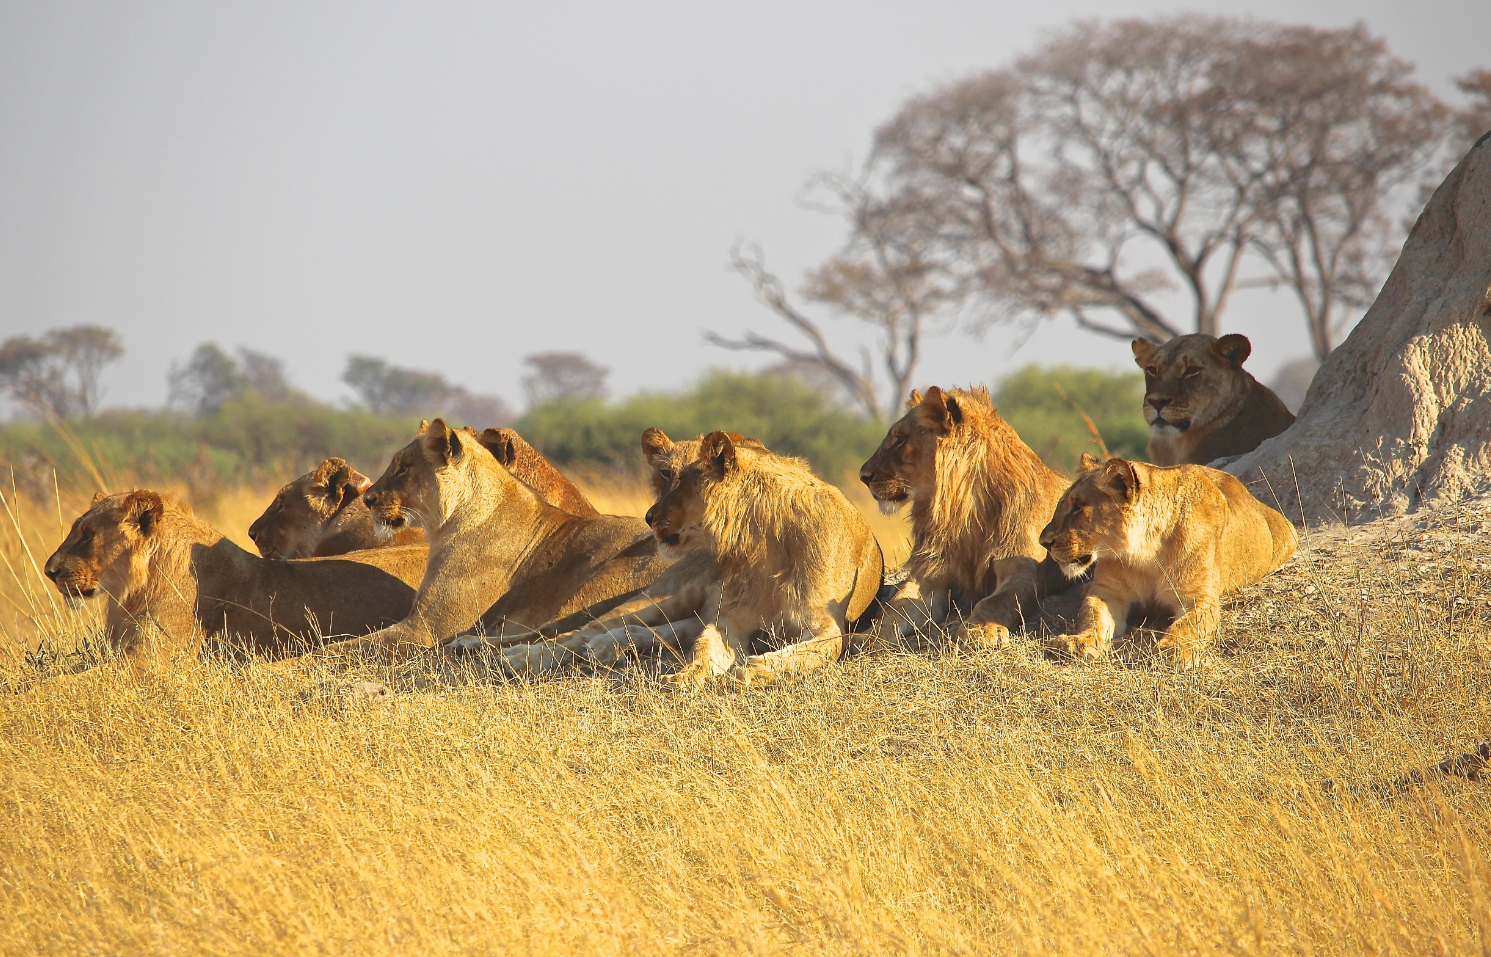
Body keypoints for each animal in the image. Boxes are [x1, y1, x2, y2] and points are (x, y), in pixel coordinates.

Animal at [295, 419, 671, 666]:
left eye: (403, 468)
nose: (369, 499)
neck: (448, 523)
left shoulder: (425, 628)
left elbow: (341, 647)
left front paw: (289, 663)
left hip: (600, 580)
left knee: (566, 632)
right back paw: (469, 645)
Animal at [641, 430, 883, 686]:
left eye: (683, 481)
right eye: (667, 475)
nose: (648, 517)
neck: (764, 542)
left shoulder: (827, 623)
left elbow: (806, 653)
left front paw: (748, 670)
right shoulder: (731, 617)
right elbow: (703, 647)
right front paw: (684, 675)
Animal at [859, 385, 1074, 649]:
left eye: (900, 439)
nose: (863, 476)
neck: (964, 510)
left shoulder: (1025, 570)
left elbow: (995, 601)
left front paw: (979, 630)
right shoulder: (930, 575)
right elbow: (896, 608)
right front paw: (867, 637)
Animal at [1038, 454, 1298, 667]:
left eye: (1078, 508)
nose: (1044, 541)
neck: (1145, 553)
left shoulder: (1199, 597)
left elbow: (1188, 624)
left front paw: (1173, 649)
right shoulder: (1108, 592)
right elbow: (1092, 615)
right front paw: (1078, 642)